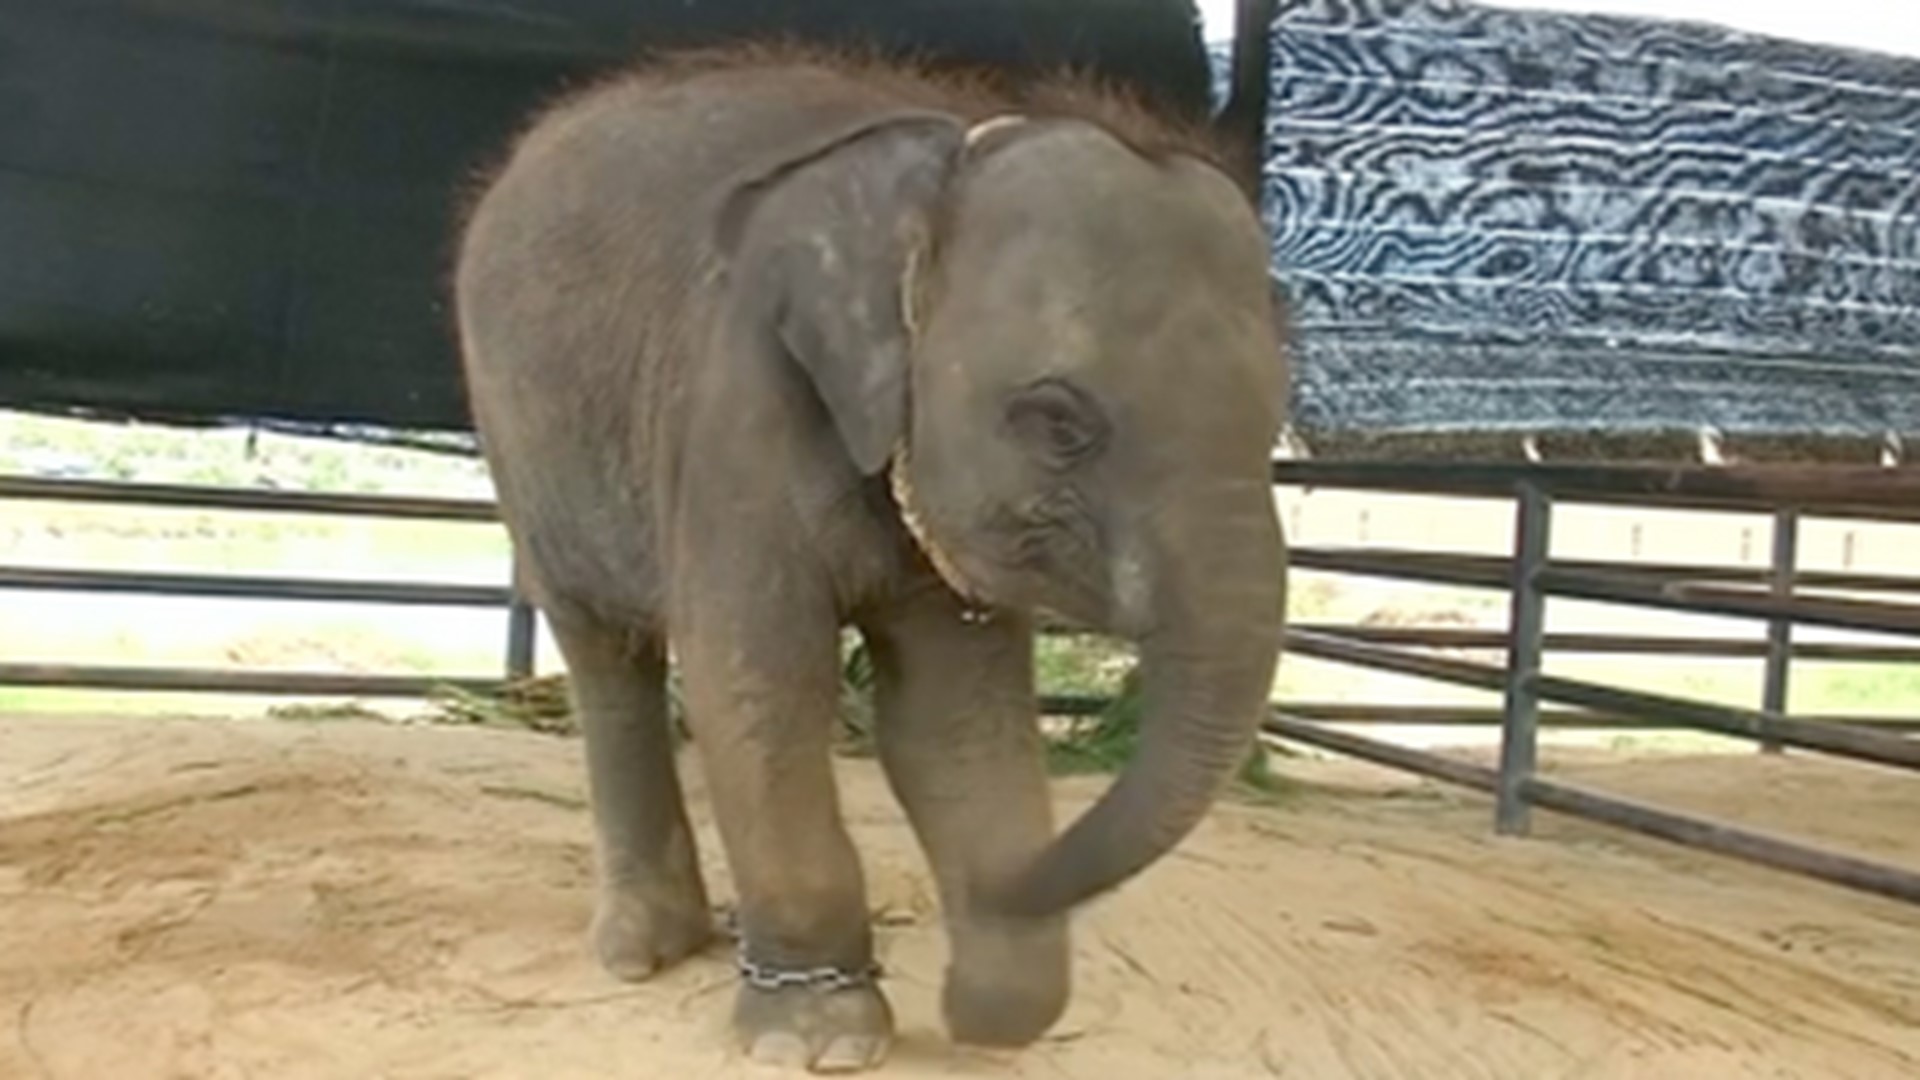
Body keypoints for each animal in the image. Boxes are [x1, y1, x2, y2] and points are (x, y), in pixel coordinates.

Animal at [452, 43, 1290, 1073]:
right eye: (1059, 424)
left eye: (1277, 428)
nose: (999, 895)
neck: (937, 163)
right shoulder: (739, 403)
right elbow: (759, 685)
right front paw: (821, 1037)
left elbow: (950, 720)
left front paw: (989, 1008)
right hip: (521, 442)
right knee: (606, 654)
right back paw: (643, 951)